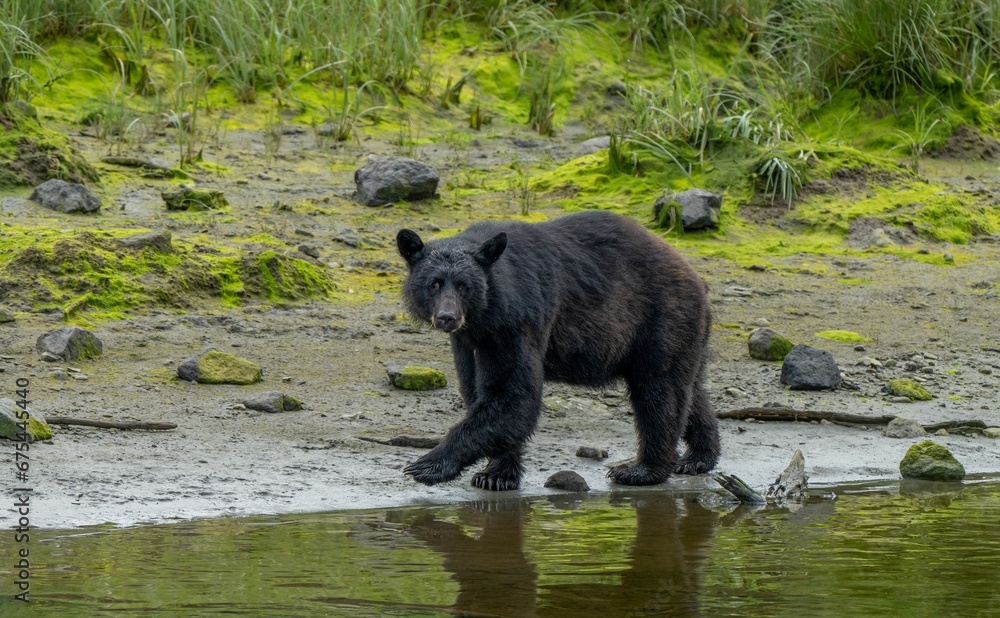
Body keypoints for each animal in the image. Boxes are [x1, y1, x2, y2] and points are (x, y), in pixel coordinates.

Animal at [396, 209, 720, 488]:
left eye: (464, 285)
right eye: (434, 283)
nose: (447, 317)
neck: (487, 315)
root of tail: (695, 276)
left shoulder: (519, 321)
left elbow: (513, 393)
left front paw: (426, 465)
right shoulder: (470, 340)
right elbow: (478, 390)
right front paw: (495, 475)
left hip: (661, 319)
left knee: (659, 392)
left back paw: (641, 469)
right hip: (682, 334)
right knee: (690, 391)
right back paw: (698, 457)